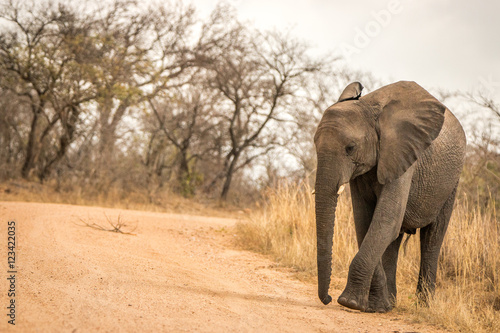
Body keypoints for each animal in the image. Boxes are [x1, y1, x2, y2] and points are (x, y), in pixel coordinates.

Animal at [314, 80, 466, 312]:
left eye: (350, 148)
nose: (328, 298)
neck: (369, 108)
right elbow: (366, 222)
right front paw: (377, 306)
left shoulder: (404, 156)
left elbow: (386, 219)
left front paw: (350, 303)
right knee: (395, 240)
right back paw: (391, 302)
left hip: (451, 181)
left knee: (433, 237)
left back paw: (424, 307)